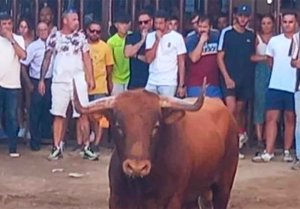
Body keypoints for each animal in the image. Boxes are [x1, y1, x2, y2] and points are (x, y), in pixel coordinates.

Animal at [73, 81, 239, 209]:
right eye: (118, 125)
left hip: (223, 187)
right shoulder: (116, 199)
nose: (137, 167)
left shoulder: (173, 200)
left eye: (156, 126)